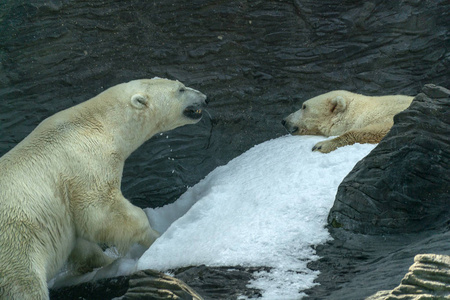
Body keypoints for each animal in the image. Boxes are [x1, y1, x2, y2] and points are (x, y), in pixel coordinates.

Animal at [0, 78, 207, 300]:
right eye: (181, 89)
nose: (205, 98)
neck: (99, 123)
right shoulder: (86, 162)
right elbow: (100, 212)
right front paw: (155, 236)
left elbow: (82, 242)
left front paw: (105, 264)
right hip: (16, 248)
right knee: (24, 285)